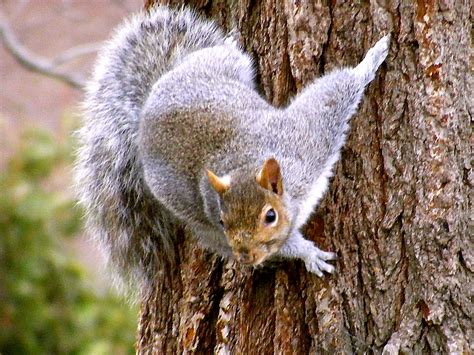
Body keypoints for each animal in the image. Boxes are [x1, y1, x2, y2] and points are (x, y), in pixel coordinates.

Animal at [74, 4, 388, 292]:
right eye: (223, 221)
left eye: (270, 216)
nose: (246, 256)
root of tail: (147, 111)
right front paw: (307, 254)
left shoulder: (308, 142)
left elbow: (331, 96)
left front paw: (369, 62)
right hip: (195, 217)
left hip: (221, 65)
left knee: (231, 55)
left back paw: (232, 41)